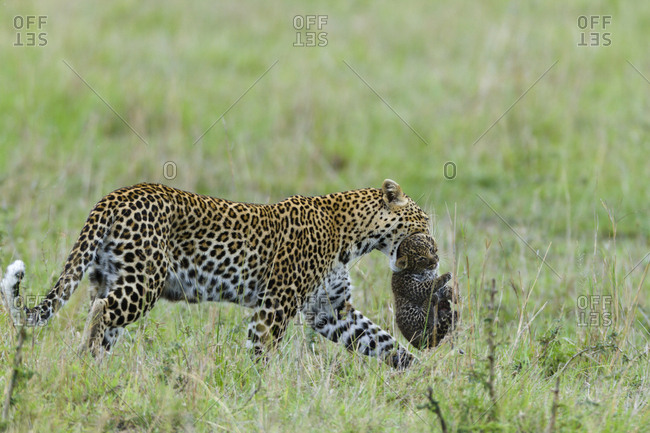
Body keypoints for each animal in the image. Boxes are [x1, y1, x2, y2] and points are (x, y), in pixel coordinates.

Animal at [2, 179, 432, 368]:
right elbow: (261, 350)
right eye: (423, 220)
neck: (354, 236)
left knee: (102, 317)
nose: (434, 250)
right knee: (101, 312)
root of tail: (114, 196)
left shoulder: (330, 309)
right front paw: (257, 389)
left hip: (110, 276)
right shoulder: (276, 305)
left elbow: (380, 340)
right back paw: (83, 358)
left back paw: (93, 368)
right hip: (144, 282)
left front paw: (422, 374)